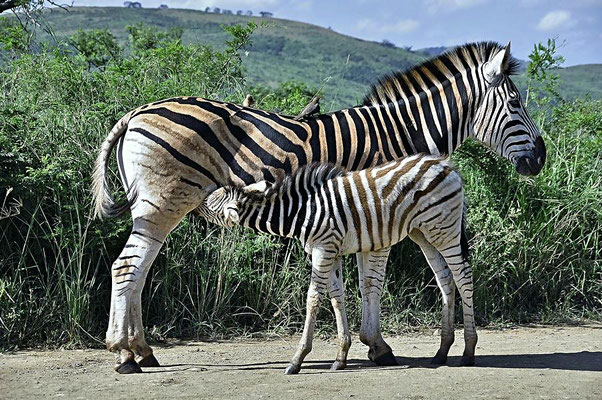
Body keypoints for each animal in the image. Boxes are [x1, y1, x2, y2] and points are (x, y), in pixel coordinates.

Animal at [199, 154, 472, 376]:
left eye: (212, 201)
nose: (198, 200)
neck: (299, 212)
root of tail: (446, 165)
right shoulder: (329, 250)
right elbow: (336, 297)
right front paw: (341, 357)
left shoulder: (324, 248)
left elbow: (313, 299)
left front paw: (297, 360)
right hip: (423, 233)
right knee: (445, 278)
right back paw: (442, 352)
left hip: (444, 230)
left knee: (462, 277)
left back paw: (468, 351)